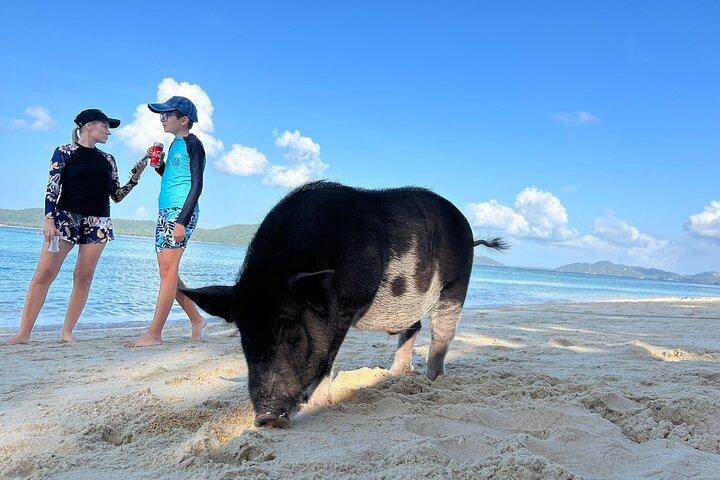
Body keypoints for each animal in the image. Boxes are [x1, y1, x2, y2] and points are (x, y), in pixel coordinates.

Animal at [182, 181, 506, 428]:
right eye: (245, 337)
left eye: (291, 330)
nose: (265, 417)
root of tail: (469, 232)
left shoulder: (345, 309)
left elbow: (326, 358)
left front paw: (316, 405)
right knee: (412, 327)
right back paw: (394, 374)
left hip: (455, 286)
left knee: (442, 335)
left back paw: (432, 380)